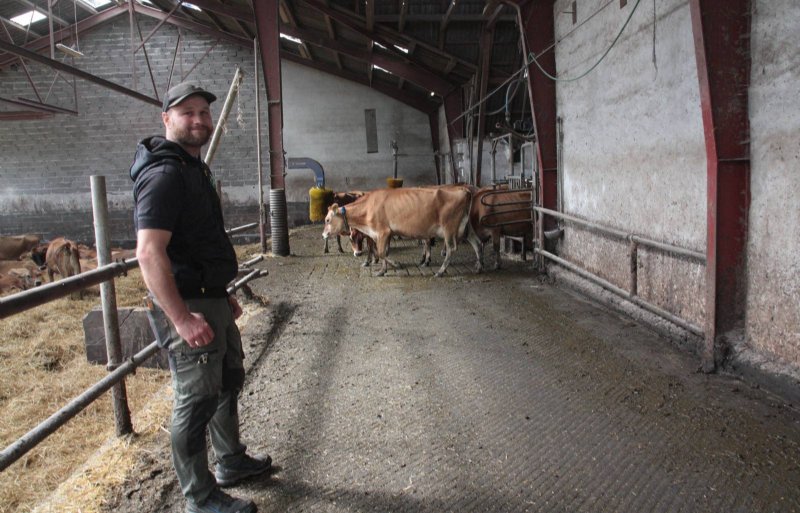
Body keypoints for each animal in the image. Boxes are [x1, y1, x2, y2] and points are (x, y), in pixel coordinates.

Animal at [320, 186, 482, 276]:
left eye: (327, 220)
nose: (323, 235)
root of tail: (463, 189)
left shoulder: (383, 231)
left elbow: (381, 252)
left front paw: (388, 268)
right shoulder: (383, 234)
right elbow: (383, 252)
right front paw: (386, 269)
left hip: (449, 227)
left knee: (451, 249)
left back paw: (440, 272)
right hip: (466, 227)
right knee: (477, 243)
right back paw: (479, 266)